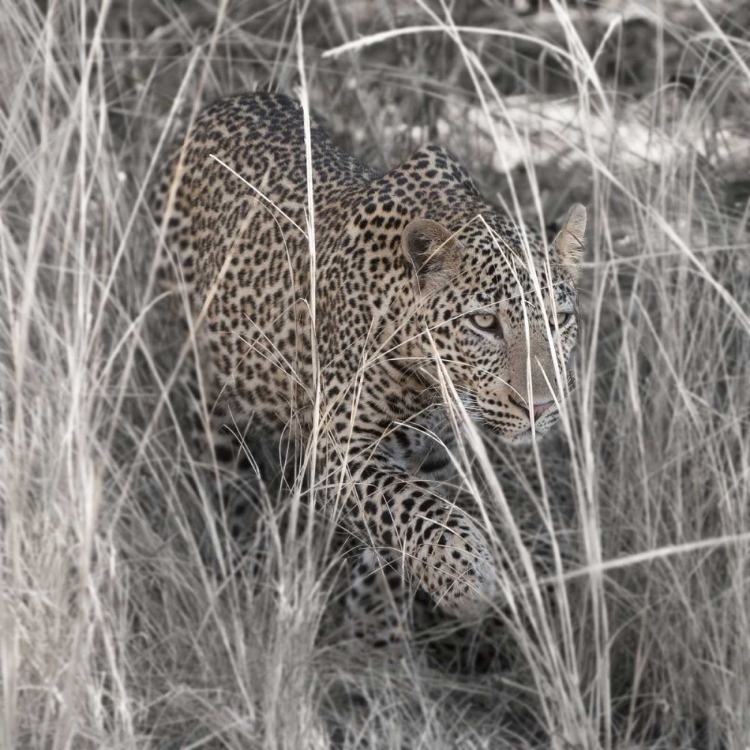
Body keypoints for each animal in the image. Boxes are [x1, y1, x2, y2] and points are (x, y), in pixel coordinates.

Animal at [153, 91, 588, 632]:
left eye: (559, 319)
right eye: (485, 322)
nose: (541, 407)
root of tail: (223, 102)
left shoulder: (432, 457)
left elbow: (402, 523)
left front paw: (377, 620)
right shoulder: (338, 450)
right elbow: (420, 511)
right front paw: (468, 579)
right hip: (204, 380)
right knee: (215, 468)